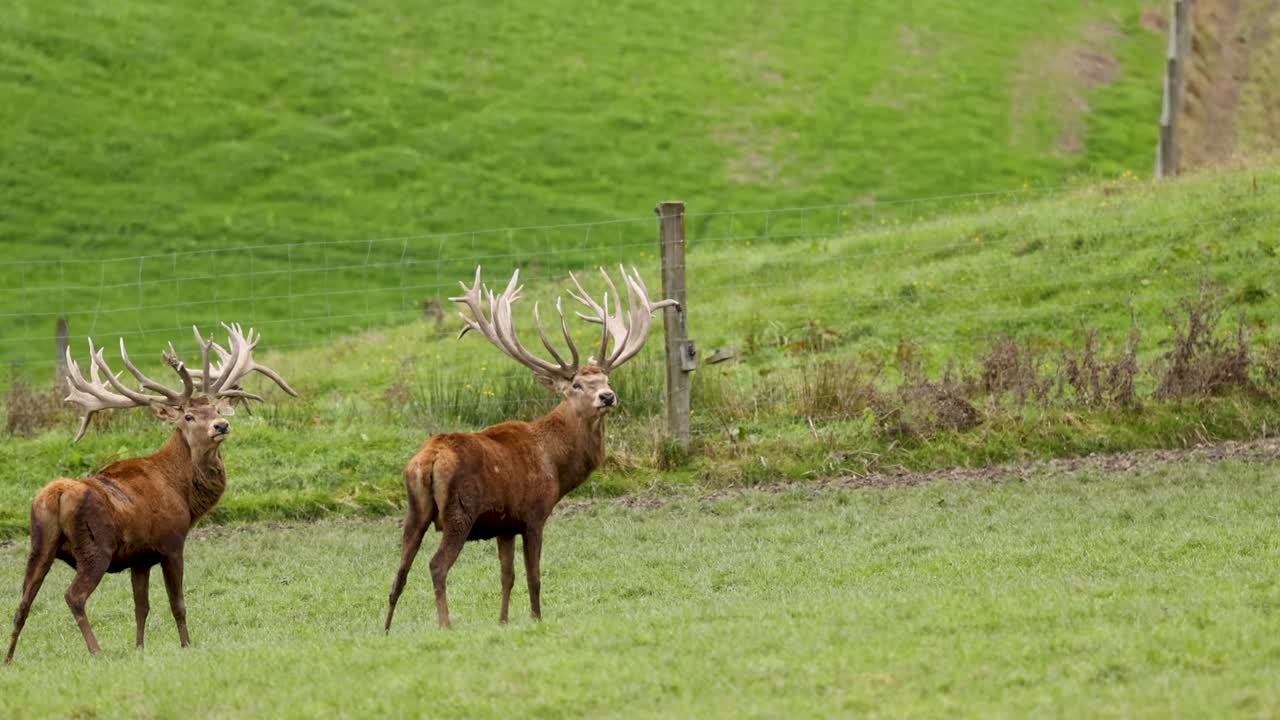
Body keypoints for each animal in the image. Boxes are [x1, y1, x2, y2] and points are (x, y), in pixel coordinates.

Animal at [4, 323, 297, 663]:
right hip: (95, 547)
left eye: (214, 408)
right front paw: (186, 644)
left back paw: (8, 659)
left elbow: (141, 606)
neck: (183, 493)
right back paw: (96, 651)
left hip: (39, 545)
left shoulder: (140, 558)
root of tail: (56, 495)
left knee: (22, 602)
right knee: (73, 596)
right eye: (188, 416)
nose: (221, 425)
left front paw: (139, 648)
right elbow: (177, 603)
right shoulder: (171, 543)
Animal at [384, 265, 679, 630]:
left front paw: (502, 621)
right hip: (459, 512)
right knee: (436, 566)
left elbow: (506, 576)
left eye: (607, 380)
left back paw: (386, 629)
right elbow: (533, 576)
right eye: (577, 384)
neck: (556, 463)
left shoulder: (504, 524)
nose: (607, 396)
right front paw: (537, 618)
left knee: (400, 571)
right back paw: (445, 625)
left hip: (415, 509)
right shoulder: (533, 514)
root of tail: (429, 459)